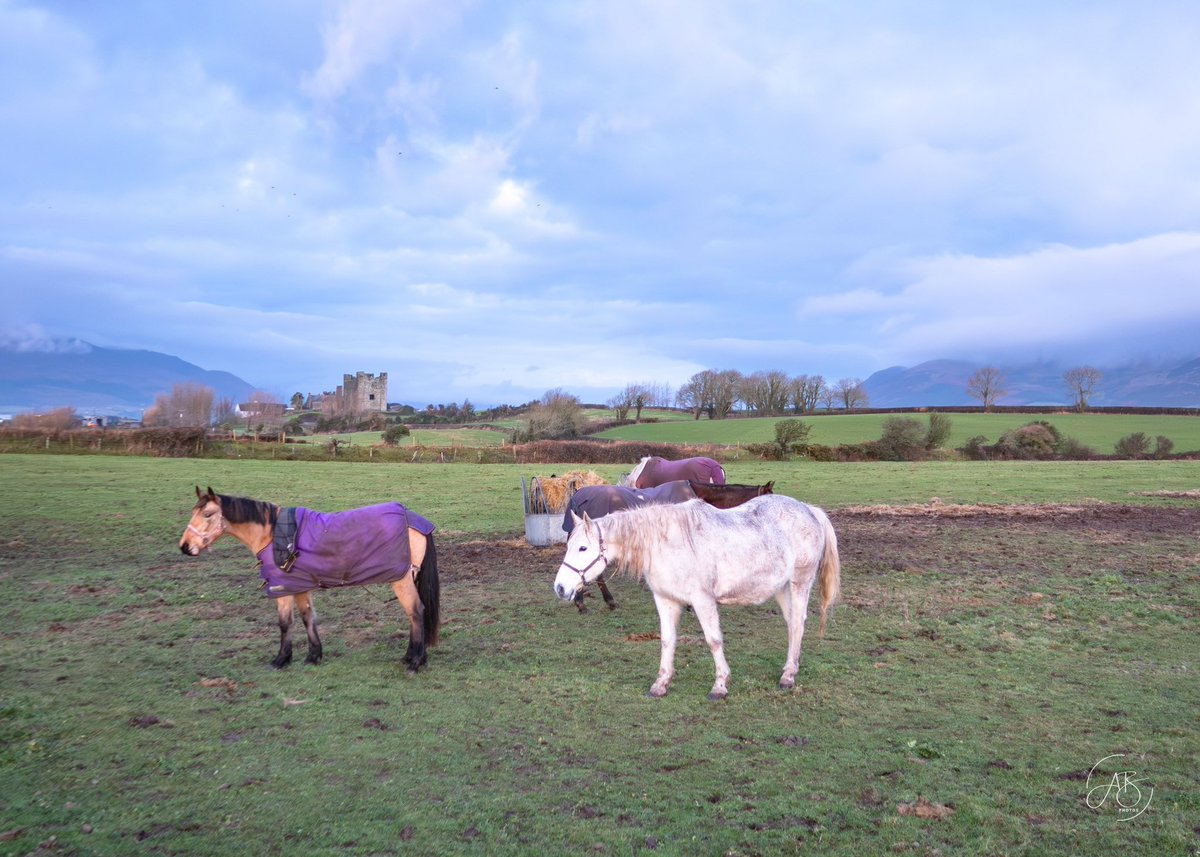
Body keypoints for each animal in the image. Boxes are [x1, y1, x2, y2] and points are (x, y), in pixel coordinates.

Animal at [179, 487, 440, 673]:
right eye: (193, 512)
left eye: (208, 514)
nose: (185, 546)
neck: (272, 535)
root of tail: (414, 520)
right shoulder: (300, 586)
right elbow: (308, 618)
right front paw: (314, 655)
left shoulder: (282, 588)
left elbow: (285, 623)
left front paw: (281, 660)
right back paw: (411, 657)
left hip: (401, 581)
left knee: (416, 612)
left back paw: (415, 663)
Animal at [552, 494, 840, 700]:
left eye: (583, 548)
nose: (560, 588)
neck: (667, 543)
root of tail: (809, 510)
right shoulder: (665, 600)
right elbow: (667, 641)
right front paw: (660, 684)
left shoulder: (703, 600)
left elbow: (713, 641)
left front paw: (720, 685)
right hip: (781, 589)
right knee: (792, 625)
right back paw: (789, 670)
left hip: (799, 583)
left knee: (799, 623)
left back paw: (788, 677)